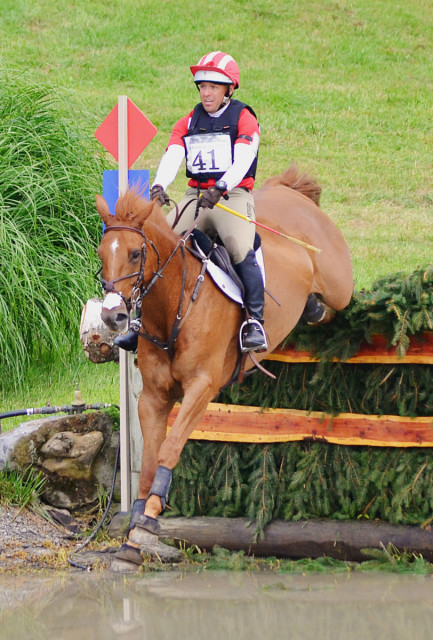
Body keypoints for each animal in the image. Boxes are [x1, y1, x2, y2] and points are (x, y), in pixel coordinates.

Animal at [96, 166, 352, 568]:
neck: (174, 306)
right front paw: (135, 537)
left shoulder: (202, 387)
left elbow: (170, 449)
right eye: (101, 253)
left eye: (136, 253)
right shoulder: (153, 397)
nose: (112, 315)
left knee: (335, 302)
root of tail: (292, 192)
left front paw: (148, 522)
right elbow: (150, 462)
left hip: (340, 283)